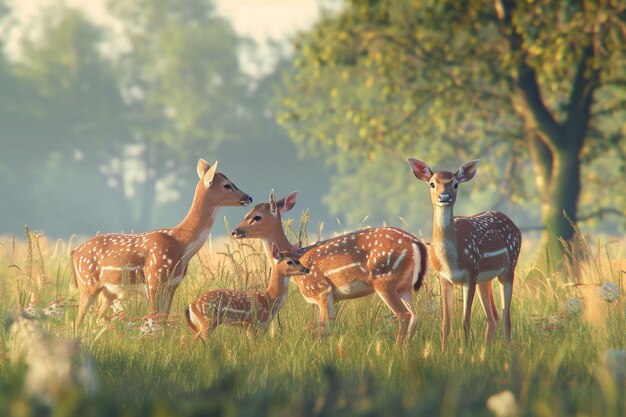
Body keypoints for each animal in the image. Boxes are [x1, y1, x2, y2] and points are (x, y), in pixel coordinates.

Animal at [70, 158, 251, 330]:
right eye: (227, 185)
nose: (249, 197)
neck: (181, 243)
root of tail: (74, 252)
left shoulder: (172, 284)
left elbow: (163, 319)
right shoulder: (153, 278)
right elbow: (153, 318)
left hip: (109, 290)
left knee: (96, 318)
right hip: (87, 282)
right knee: (78, 321)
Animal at [230, 188, 428, 344]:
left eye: (256, 217)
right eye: (246, 214)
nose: (235, 231)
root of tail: (416, 244)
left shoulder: (321, 290)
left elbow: (324, 329)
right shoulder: (326, 298)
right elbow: (321, 328)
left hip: (384, 279)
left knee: (404, 315)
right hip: (404, 286)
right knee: (415, 316)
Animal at [408, 157, 520, 348]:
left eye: (455, 184)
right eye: (432, 183)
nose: (444, 197)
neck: (450, 262)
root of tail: (514, 224)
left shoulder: (470, 274)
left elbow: (465, 320)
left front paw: (464, 351)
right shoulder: (443, 278)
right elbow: (446, 322)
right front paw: (444, 350)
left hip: (508, 269)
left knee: (506, 316)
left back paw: (507, 349)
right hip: (485, 279)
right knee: (493, 316)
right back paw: (486, 350)